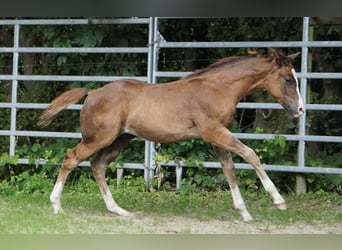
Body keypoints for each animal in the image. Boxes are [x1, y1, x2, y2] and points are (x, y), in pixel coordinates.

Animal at [39, 48, 304, 221]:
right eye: (288, 79)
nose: (300, 110)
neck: (218, 88)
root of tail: (92, 93)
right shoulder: (215, 132)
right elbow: (251, 155)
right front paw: (278, 201)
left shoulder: (217, 137)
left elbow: (229, 168)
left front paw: (244, 212)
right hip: (99, 138)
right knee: (72, 157)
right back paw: (56, 206)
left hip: (121, 139)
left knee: (98, 164)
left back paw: (118, 210)